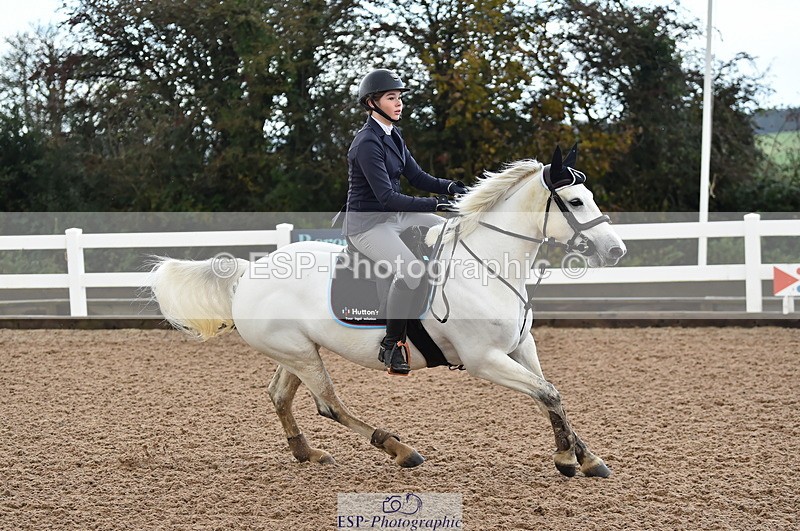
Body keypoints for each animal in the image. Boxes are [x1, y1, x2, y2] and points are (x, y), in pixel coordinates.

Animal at [148, 144, 626, 478]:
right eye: (576, 202)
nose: (616, 251)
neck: (486, 264)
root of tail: (249, 272)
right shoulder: (484, 359)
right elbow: (548, 395)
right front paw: (565, 459)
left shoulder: (520, 348)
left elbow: (551, 396)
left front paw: (587, 458)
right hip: (299, 352)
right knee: (329, 405)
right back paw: (400, 450)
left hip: (297, 350)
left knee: (280, 395)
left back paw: (308, 452)